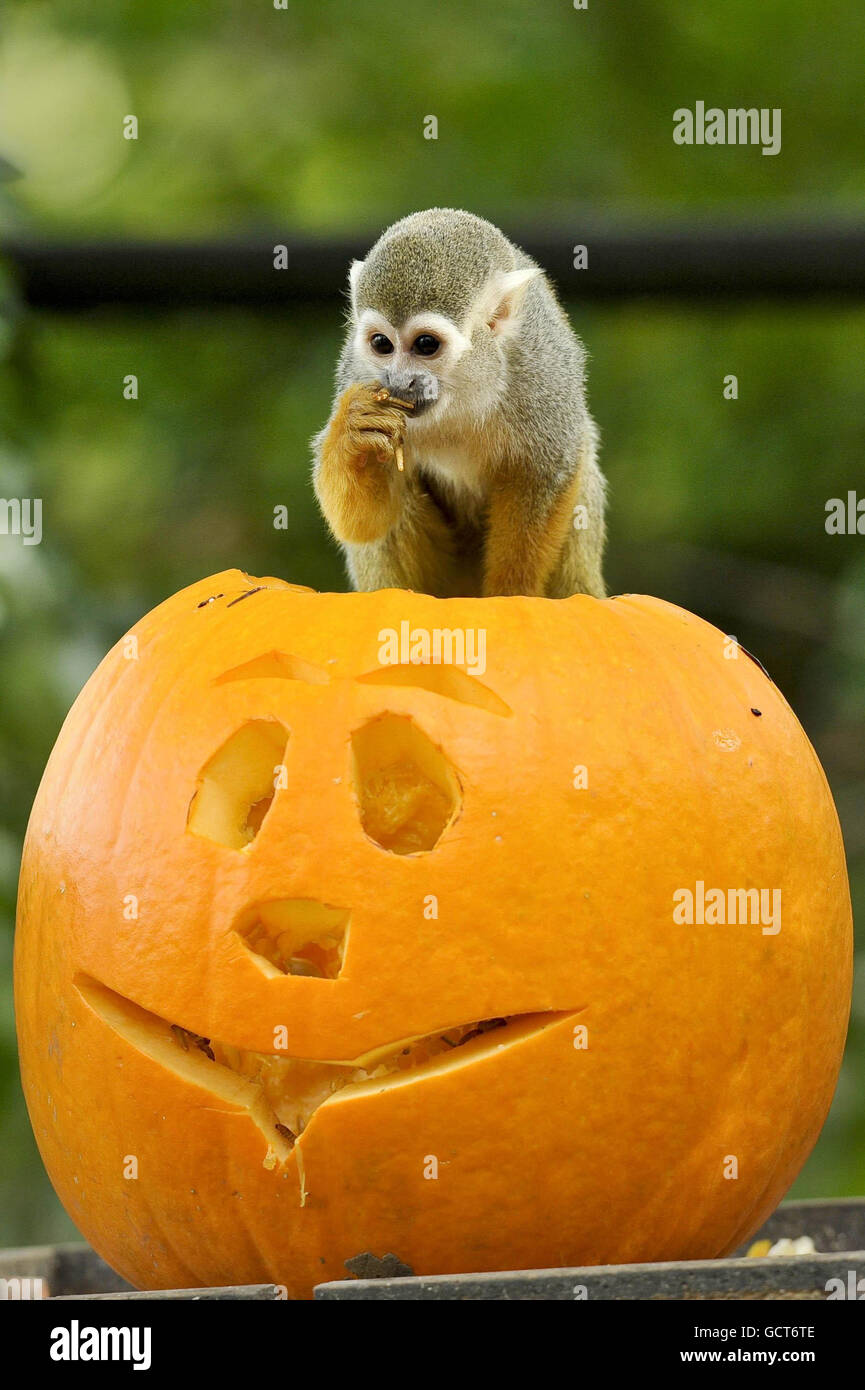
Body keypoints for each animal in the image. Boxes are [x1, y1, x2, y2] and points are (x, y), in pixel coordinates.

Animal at [315, 207, 606, 597]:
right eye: (381, 344)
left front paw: (511, 592)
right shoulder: (359, 373)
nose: (399, 382)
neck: (462, 392)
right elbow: (362, 524)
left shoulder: (541, 367)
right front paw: (355, 433)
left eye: (425, 345)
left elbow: (545, 468)